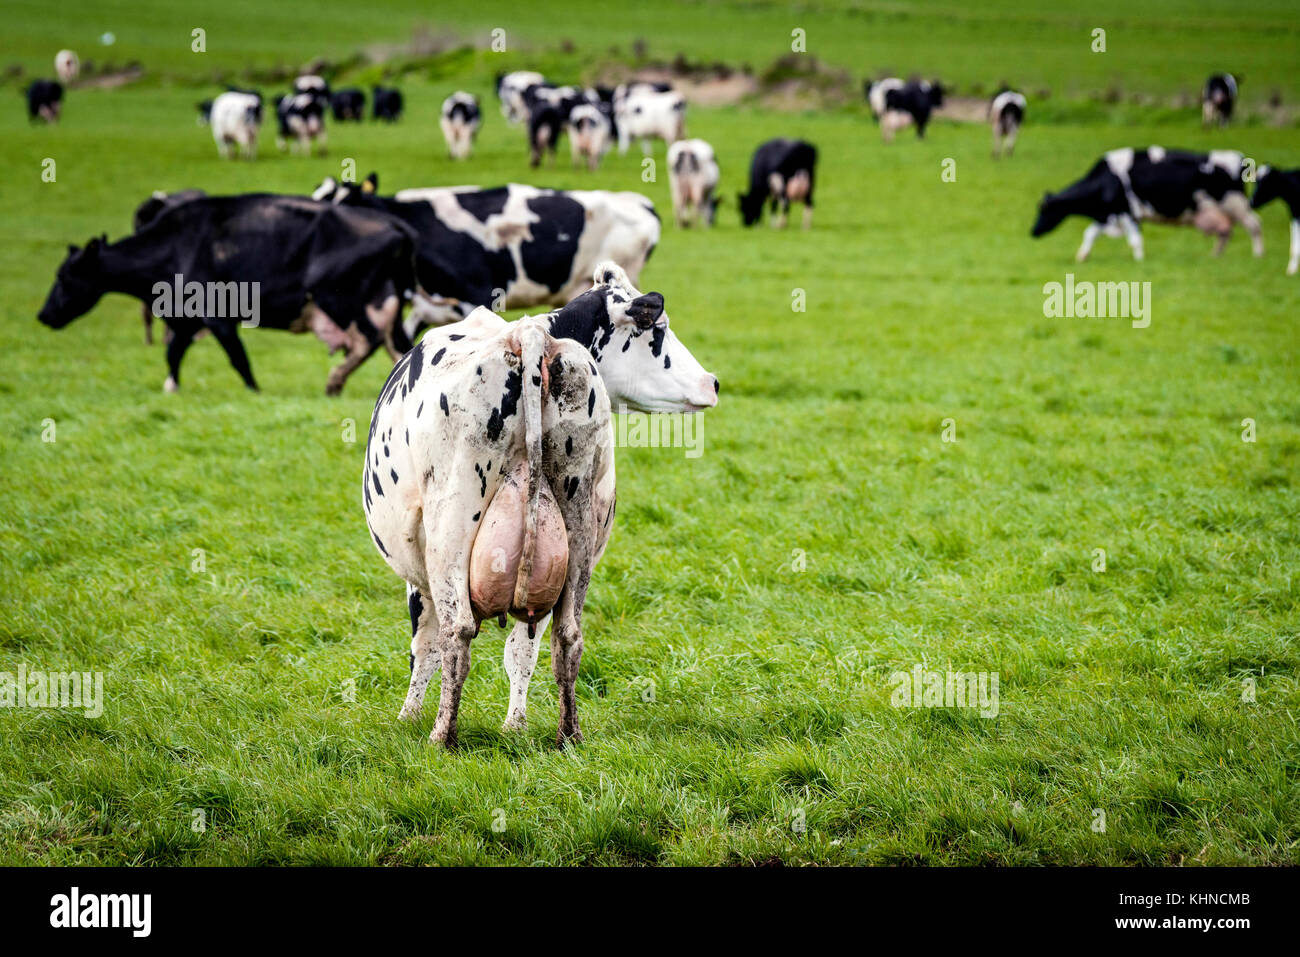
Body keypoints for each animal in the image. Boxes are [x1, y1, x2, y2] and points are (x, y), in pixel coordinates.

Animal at [37, 195, 419, 396]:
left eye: (64, 276)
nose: (43, 315)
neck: (175, 246)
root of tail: (395, 224)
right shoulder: (185, 318)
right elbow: (173, 353)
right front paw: (171, 387)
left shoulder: (216, 315)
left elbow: (238, 358)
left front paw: (255, 392)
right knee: (396, 346)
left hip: (340, 299)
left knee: (368, 340)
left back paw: (335, 381)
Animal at [362, 262, 719, 746]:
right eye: (658, 330)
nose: (712, 382)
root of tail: (531, 338)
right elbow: (521, 649)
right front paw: (515, 725)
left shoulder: (418, 574)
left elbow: (426, 645)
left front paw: (408, 718)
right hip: (576, 533)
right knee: (566, 635)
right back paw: (567, 734)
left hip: (450, 530)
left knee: (457, 632)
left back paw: (442, 736)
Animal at [1031, 147, 1264, 262]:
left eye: (1043, 210)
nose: (1032, 232)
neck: (1106, 180)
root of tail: (1238, 157)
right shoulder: (1109, 213)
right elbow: (1090, 233)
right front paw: (1081, 256)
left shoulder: (1127, 212)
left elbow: (1134, 239)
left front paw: (1140, 260)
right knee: (1226, 232)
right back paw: (1215, 256)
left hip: (1236, 204)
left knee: (1254, 226)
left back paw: (1258, 255)